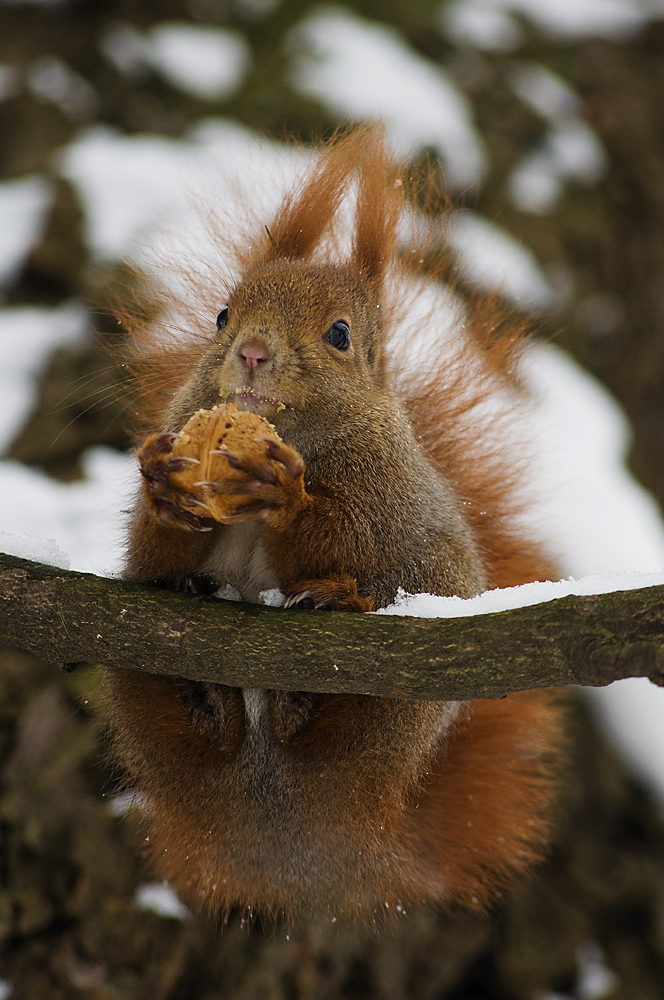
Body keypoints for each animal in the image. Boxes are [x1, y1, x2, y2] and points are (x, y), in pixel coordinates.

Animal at [106, 125, 564, 920]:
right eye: (222, 315)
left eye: (341, 335)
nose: (252, 352)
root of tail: (309, 841)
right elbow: (151, 550)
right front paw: (164, 488)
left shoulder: (383, 495)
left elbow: (345, 537)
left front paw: (289, 500)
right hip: (141, 698)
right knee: (204, 733)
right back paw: (209, 695)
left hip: (405, 696)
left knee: (326, 729)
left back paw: (310, 672)